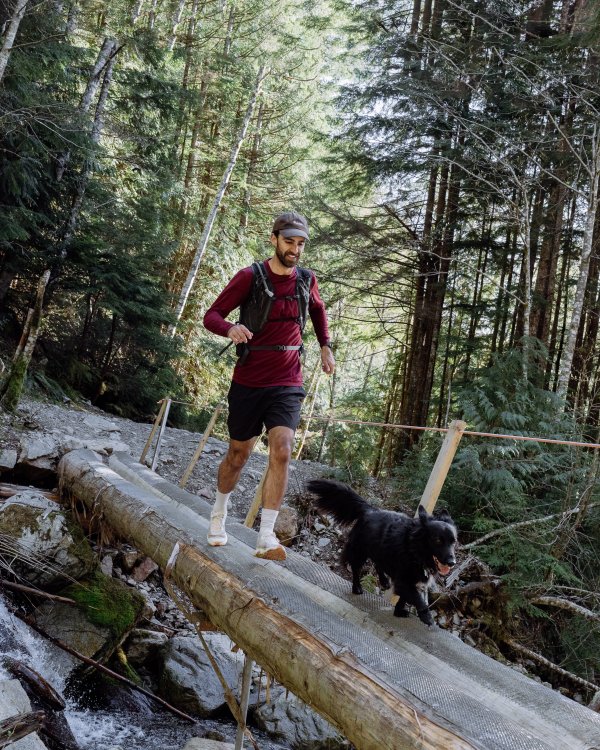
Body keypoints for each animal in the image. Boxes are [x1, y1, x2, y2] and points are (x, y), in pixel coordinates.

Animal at [308, 482, 458, 628]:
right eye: (438, 540)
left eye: (454, 541)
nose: (452, 563)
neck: (415, 550)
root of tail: (370, 509)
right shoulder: (404, 581)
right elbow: (417, 598)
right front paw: (426, 616)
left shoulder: (409, 582)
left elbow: (404, 598)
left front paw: (398, 612)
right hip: (359, 552)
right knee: (356, 569)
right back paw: (357, 588)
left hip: (380, 550)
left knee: (378, 563)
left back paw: (384, 581)